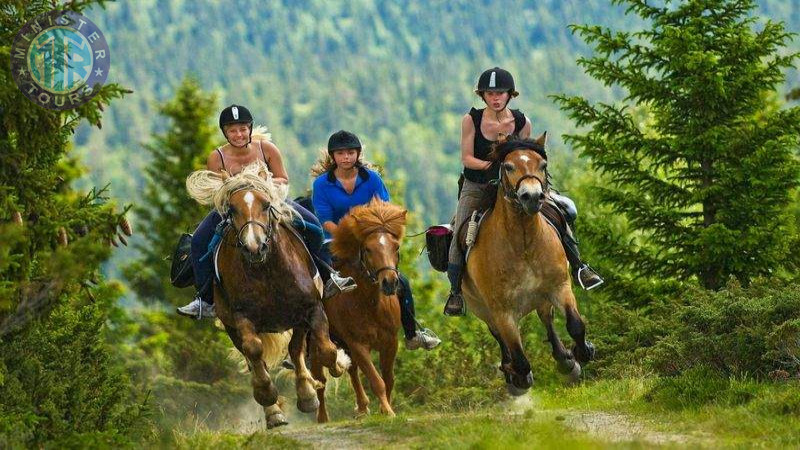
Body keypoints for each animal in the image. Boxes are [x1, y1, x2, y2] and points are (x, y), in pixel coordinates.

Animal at [189, 160, 352, 428]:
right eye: (231, 209)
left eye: (266, 204)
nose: (254, 246)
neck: (265, 270)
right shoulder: (241, 318)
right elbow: (255, 351)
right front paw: (267, 395)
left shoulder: (311, 308)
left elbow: (323, 349)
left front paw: (337, 367)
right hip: (231, 325)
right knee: (254, 358)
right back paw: (274, 413)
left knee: (296, 350)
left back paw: (307, 394)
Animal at [310, 199, 410, 420]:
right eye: (368, 249)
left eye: (396, 246)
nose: (389, 283)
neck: (369, 303)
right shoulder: (358, 344)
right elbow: (376, 380)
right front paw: (387, 411)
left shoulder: (390, 341)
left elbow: (388, 378)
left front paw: (385, 408)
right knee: (320, 378)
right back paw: (322, 417)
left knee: (352, 370)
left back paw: (363, 408)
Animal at [462, 133, 592, 394]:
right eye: (508, 166)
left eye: (542, 165)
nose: (531, 196)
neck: (522, 244)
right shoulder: (502, 311)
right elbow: (519, 356)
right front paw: (518, 378)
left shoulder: (560, 287)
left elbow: (575, 324)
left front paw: (582, 353)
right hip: (483, 309)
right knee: (500, 338)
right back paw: (511, 372)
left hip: (541, 296)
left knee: (546, 318)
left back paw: (565, 360)